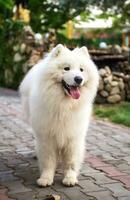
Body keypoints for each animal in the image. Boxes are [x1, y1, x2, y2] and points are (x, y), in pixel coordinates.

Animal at [19, 44, 98, 187]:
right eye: (66, 68)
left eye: (81, 70)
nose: (79, 79)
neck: (64, 106)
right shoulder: (47, 137)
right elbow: (48, 161)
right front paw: (46, 178)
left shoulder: (73, 136)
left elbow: (71, 161)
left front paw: (70, 178)